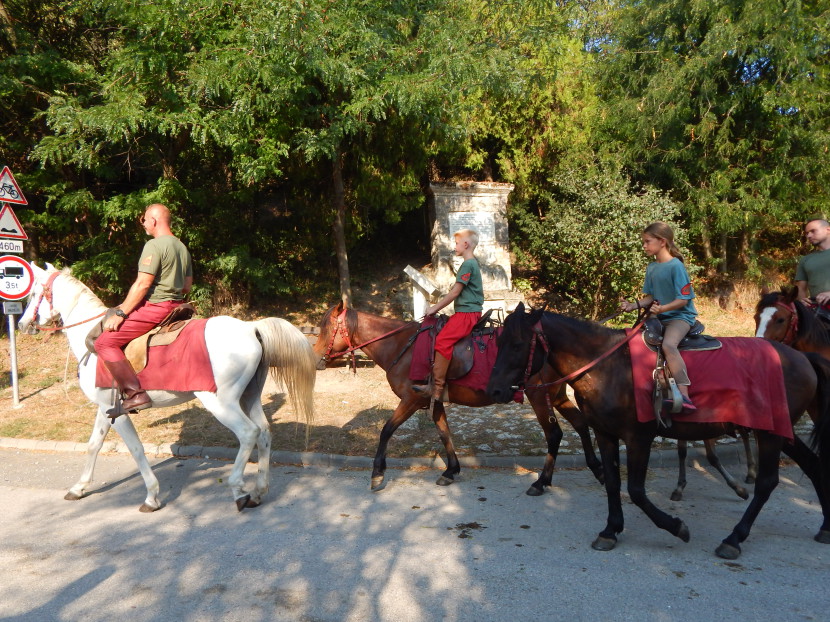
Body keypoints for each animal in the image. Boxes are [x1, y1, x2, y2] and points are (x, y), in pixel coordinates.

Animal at [20, 264, 318, 512]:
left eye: (34, 292)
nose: (23, 324)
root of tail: (250, 328)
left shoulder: (117, 413)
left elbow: (136, 449)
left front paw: (151, 496)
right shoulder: (106, 409)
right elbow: (94, 445)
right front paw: (79, 488)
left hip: (221, 403)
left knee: (248, 433)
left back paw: (238, 489)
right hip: (248, 397)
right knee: (264, 433)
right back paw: (258, 491)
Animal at [312, 304, 604, 494]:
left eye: (327, 329)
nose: (315, 358)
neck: (402, 346)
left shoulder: (410, 399)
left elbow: (386, 430)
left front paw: (377, 474)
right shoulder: (434, 400)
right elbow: (444, 432)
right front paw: (451, 470)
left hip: (538, 395)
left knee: (554, 434)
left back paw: (541, 481)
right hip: (556, 395)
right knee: (580, 425)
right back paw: (596, 468)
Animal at [488, 304, 830, 564]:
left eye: (517, 345)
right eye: (498, 342)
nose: (494, 389)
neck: (609, 367)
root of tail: (802, 357)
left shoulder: (638, 437)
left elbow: (637, 490)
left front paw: (676, 526)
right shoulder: (605, 434)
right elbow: (613, 483)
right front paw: (610, 530)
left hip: (770, 434)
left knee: (767, 482)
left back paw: (734, 538)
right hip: (781, 431)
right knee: (814, 467)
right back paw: (825, 527)